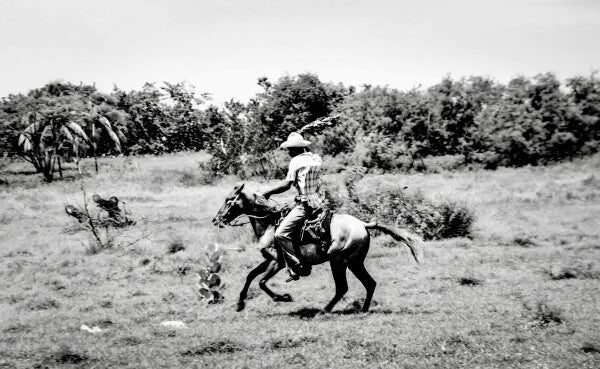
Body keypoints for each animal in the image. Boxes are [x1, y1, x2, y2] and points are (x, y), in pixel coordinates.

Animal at [213, 183, 424, 312]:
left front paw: (284, 297)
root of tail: (364, 224)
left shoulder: (278, 262)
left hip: (338, 261)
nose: (216, 219)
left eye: (228, 200)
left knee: (343, 287)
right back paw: (363, 309)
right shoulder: (269, 260)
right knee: (369, 283)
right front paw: (240, 303)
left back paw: (325, 310)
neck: (270, 223)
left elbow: (261, 282)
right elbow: (250, 276)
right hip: (355, 263)